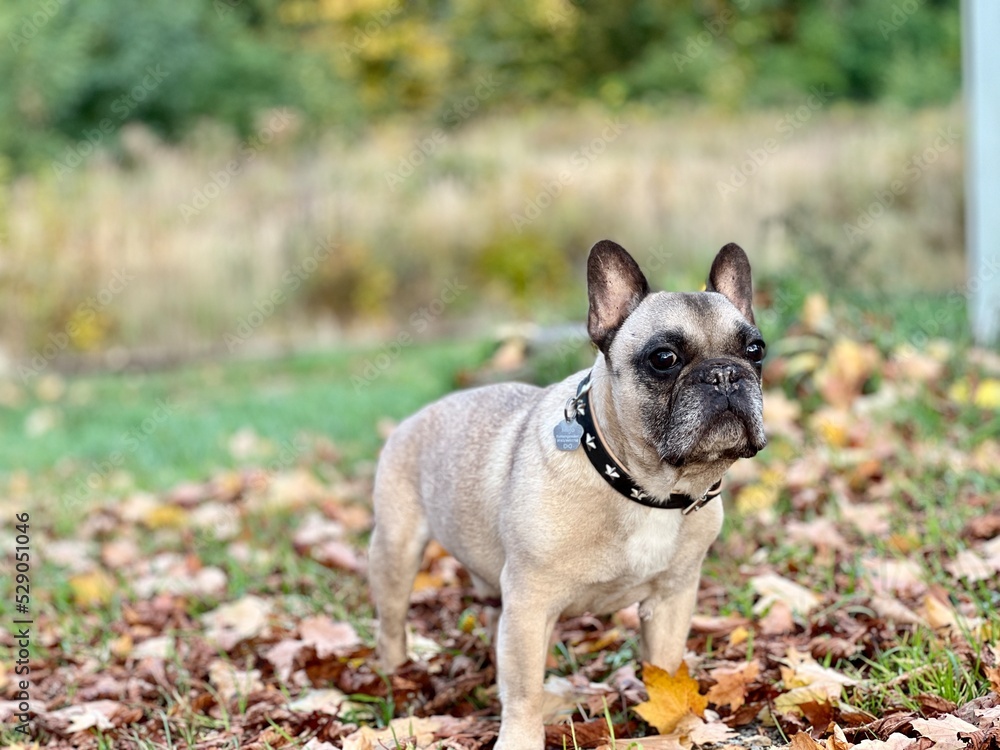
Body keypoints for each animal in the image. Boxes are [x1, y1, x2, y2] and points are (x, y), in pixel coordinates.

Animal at [372, 244, 768, 748]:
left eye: (756, 351)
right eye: (664, 358)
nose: (724, 374)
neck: (646, 488)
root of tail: (413, 418)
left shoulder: (671, 599)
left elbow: (664, 666)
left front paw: (675, 723)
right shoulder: (530, 603)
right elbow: (522, 689)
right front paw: (520, 740)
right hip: (396, 553)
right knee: (392, 625)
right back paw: (396, 678)